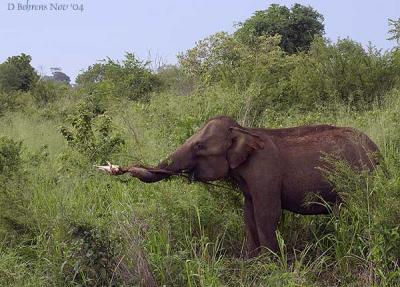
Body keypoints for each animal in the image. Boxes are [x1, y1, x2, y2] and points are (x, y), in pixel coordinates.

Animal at [98, 116, 380, 255]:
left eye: (199, 146)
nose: (114, 168)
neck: (244, 130)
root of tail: (378, 152)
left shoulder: (265, 173)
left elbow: (267, 214)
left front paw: (271, 264)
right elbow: (248, 214)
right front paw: (252, 260)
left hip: (358, 179)